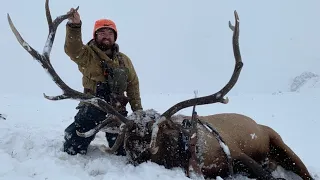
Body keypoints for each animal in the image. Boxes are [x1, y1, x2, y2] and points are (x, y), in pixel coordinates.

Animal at [7, 0, 316, 180]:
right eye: (130, 132)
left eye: (156, 129)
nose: (140, 149)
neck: (177, 152)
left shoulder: (234, 153)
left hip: (278, 141)